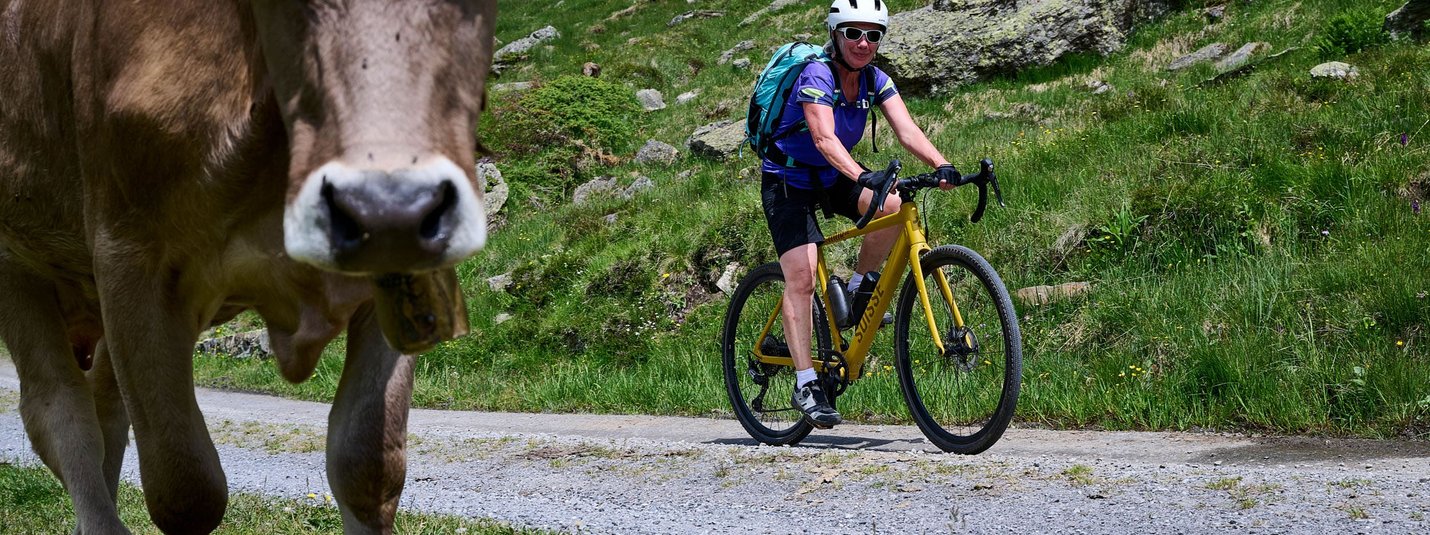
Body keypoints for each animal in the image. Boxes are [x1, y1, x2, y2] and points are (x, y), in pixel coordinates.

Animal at [0, 1, 496, 533]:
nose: (388, 208)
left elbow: (367, 464)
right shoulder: (127, 257)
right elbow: (186, 489)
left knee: (105, 408)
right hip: (19, 271)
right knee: (59, 412)